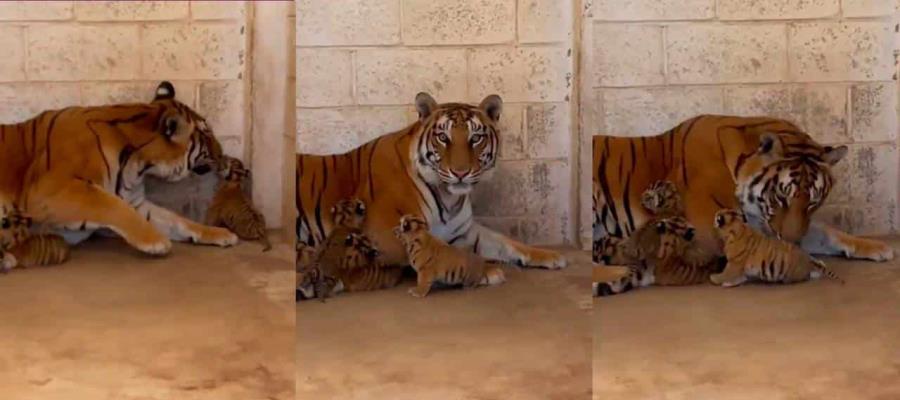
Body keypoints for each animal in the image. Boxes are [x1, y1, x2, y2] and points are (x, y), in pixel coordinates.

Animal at [0, 81, 237, 256]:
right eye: (206, 134)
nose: (222, 153)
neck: (138, 165)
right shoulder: (50, 190)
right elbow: (111, 205)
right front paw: (156, 241)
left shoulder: (136, 201)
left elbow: (176, 220)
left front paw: (219, 233)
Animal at [296, 93, 566, 271]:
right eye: (443, 137)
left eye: (475, 138)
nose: (460, 172)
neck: (450, 198)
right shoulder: (383, 236)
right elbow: (442, 251)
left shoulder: (465, 230)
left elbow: (506, 242)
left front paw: (550, 255)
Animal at [592, 115, 892, 276]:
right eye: (781, 197)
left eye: (813, 202)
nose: (794, 242)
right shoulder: (708, 230)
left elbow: (827, 231)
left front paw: (876, 246)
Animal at [712, 209, 844, 287]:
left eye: (719, 216)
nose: (716, 215)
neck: (739, 228)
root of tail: (807, 260)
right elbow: (740, 277)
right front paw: (729, 283)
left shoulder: (734, 263)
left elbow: (727, 273)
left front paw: (715, 278)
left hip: (792, 274)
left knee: (806, 276)